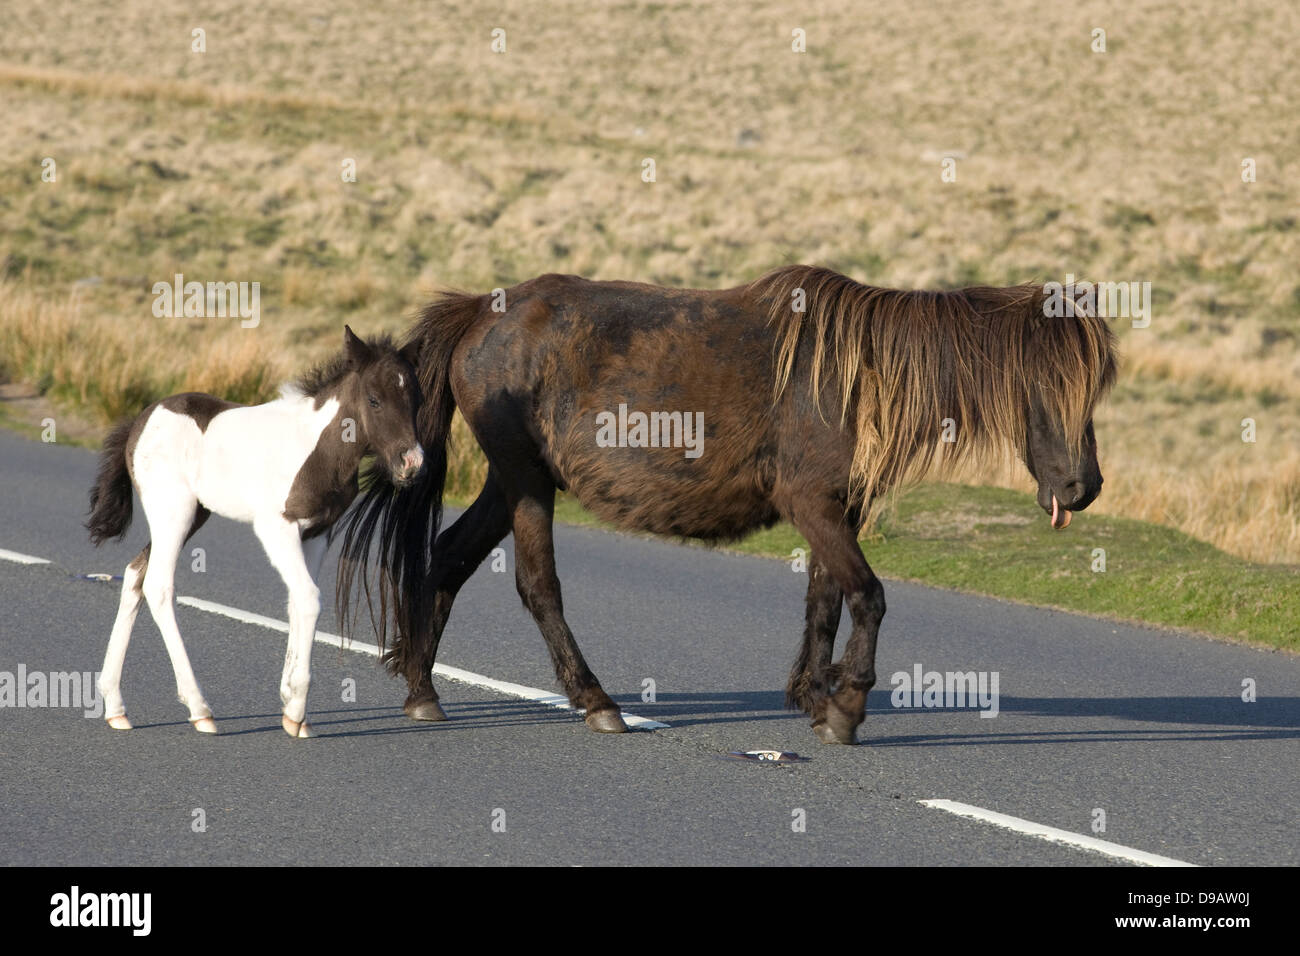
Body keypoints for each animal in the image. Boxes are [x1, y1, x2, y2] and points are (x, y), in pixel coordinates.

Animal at [86, 327, 423, 738]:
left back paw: (115, 705)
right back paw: (199, 709)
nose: (412, 463)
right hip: (174, 512)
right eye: (374, 400)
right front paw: (296, 710)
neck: (317, 450)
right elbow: (309, 598)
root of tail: (140, 421)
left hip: (193, 515)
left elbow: (298, 600)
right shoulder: (276, 527)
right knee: (157, 585)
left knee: (135, 573)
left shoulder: (318, 533)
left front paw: (291, 703)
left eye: (418, 399)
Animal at [336, 266, 1118, 744]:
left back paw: (422, 691)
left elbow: (824, 602)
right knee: (538, 588)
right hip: (526, 482)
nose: (1083, 487)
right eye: (1048, 385)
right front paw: (848, 708)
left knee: (447, 559)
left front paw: (814, 697)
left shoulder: (834, 510)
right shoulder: (813, 505)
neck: (854, 374)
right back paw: (598, 704)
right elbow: (868, 597)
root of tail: (478, 314)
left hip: (512, 481)